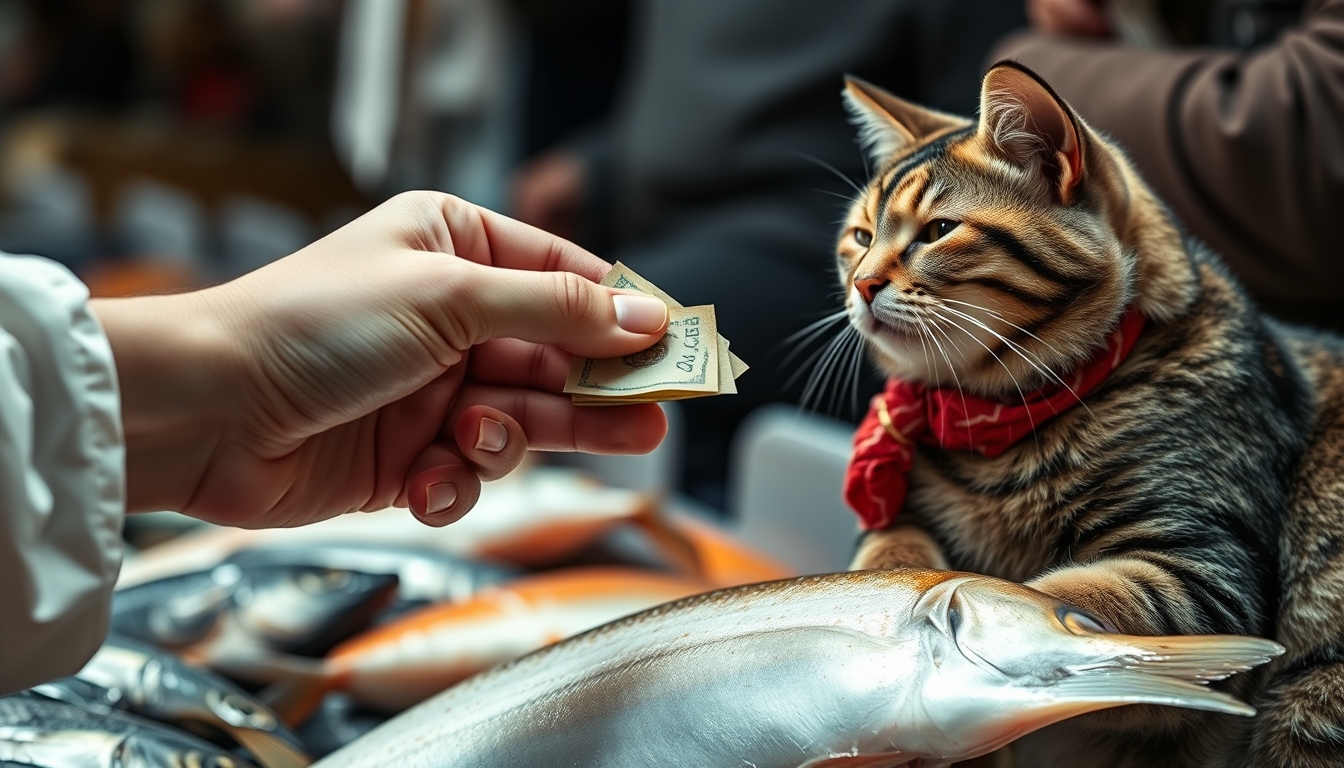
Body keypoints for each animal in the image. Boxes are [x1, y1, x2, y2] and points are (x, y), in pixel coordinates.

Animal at [838, 61, 1344, 768]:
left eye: (938, 231)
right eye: (859, 238)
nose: (861, 283)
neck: (997, 423)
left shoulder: (1203, 576)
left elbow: (1055, 599)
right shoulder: (898, 513)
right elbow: (893, 553)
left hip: (1309, 696)